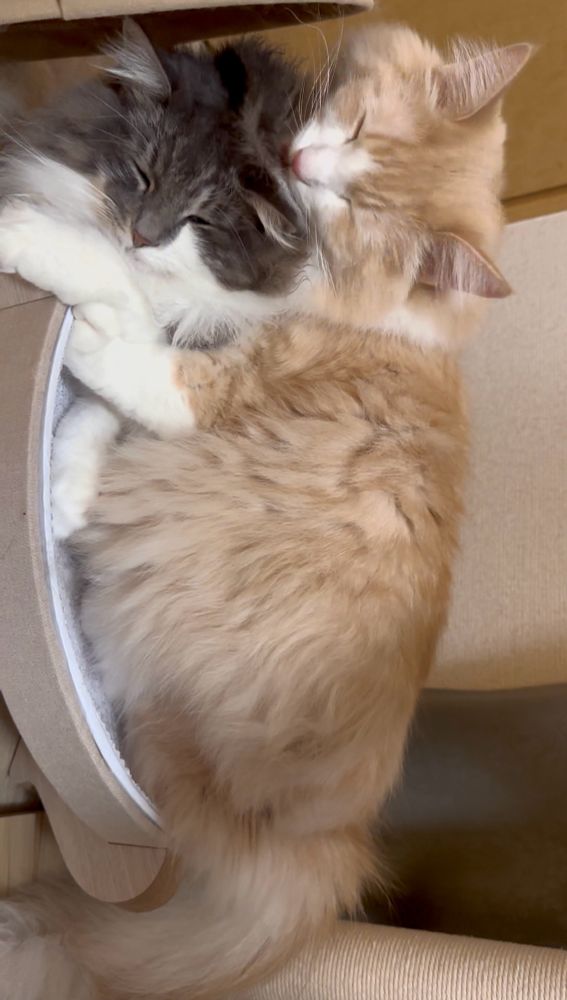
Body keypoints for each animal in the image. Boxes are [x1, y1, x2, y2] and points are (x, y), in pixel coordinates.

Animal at [0, 23, 531, 1000]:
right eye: (355, 131)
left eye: (358, 208)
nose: (299, 164)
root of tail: (319, 846)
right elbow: (98, 395)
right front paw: (61, 491)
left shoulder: (193, 367)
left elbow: (109, 290)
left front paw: (27, 235)